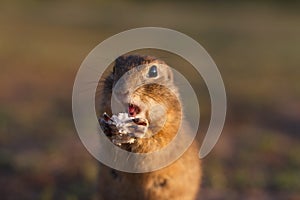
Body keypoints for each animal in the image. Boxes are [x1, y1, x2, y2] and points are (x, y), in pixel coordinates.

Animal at [97, 55, 203, 200]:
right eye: (114, 68)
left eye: (153, 71)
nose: (120, 92)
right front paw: (106, 127)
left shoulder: (168, 133)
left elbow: (155, 144)